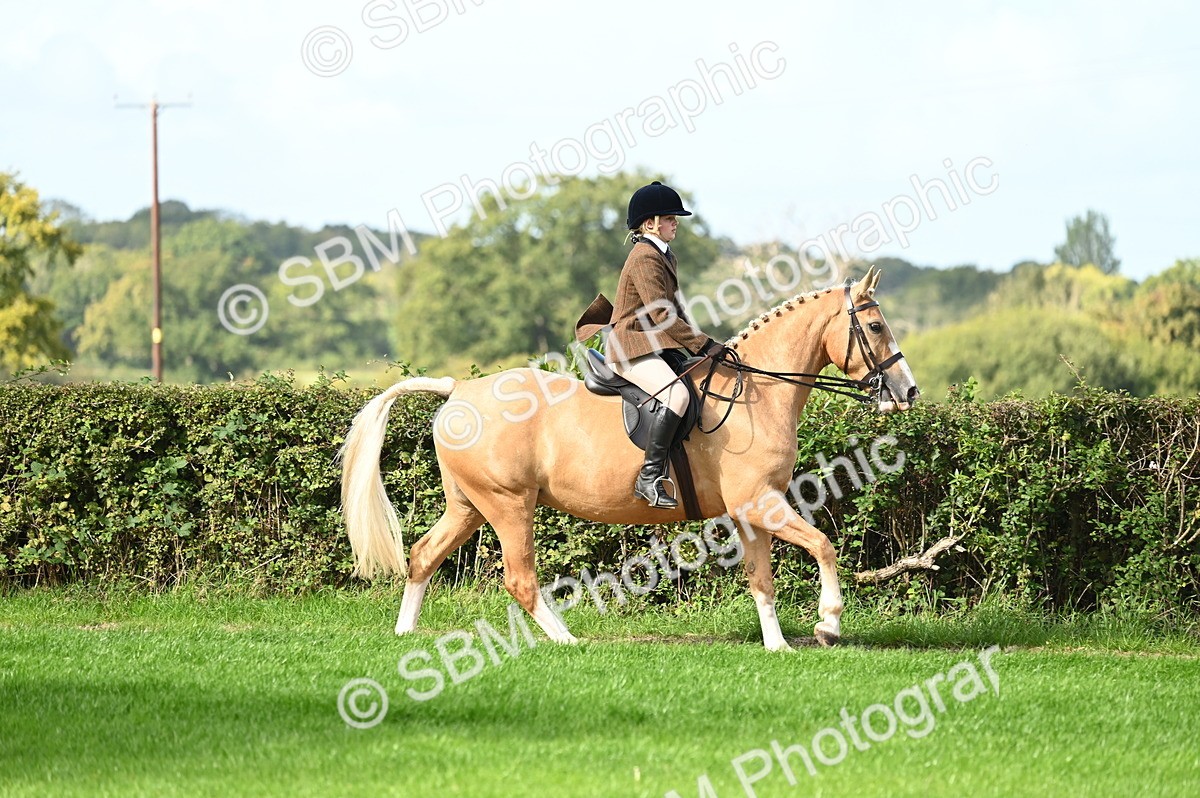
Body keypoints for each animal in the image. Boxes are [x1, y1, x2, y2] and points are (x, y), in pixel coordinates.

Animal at [340, 266, 918, 649]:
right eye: (874, 327)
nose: (907, 392)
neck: (758, 392)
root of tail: (457, 388)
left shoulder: (753, 510)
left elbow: (762, 579)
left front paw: (777, 646)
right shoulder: (761, 502)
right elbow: (824, 546)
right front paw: (828, 624)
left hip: (469, 505)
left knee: (423, 555)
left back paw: (405, 633)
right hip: (508, 504)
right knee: (520, 578)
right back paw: (567, 641)